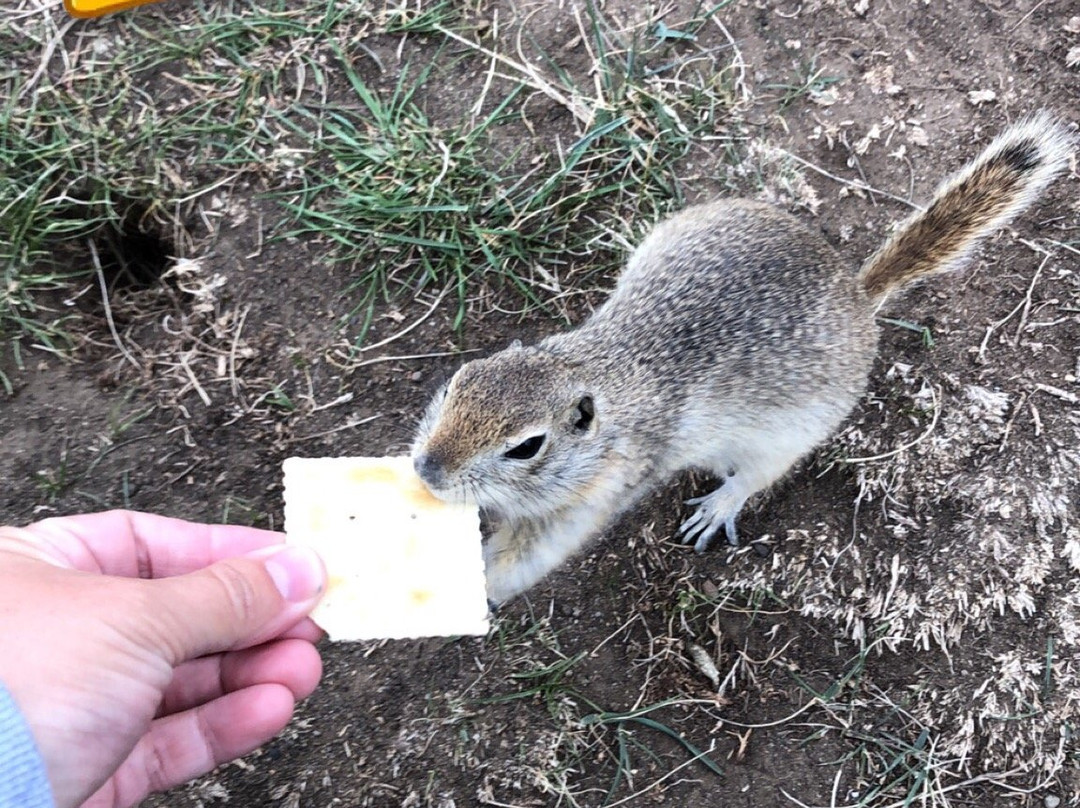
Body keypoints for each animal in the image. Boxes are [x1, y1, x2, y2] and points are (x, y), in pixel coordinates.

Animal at [408, 113, 1075, 604]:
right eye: (458, 382)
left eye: (526, 448)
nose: (426, 470)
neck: (594, 369)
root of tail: (857, 293)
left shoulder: (596, 497)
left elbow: (528, 557)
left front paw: (474, 588)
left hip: (786, 434)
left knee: (758, 474)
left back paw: (719, 504)